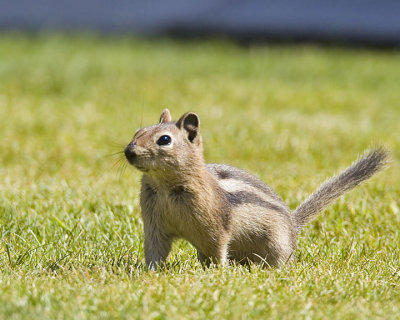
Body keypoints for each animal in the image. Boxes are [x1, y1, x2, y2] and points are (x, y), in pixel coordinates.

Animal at [124, 110, 388, 270]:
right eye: (137, 132)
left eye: (164, 140)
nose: (129, 151)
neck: (165, 187)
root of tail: (292, 225)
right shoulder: (155, 225)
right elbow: (155, 249)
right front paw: (150, 272)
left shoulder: (214, 227)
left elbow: (218, 247)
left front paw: (219, 273)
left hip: (276, 246)